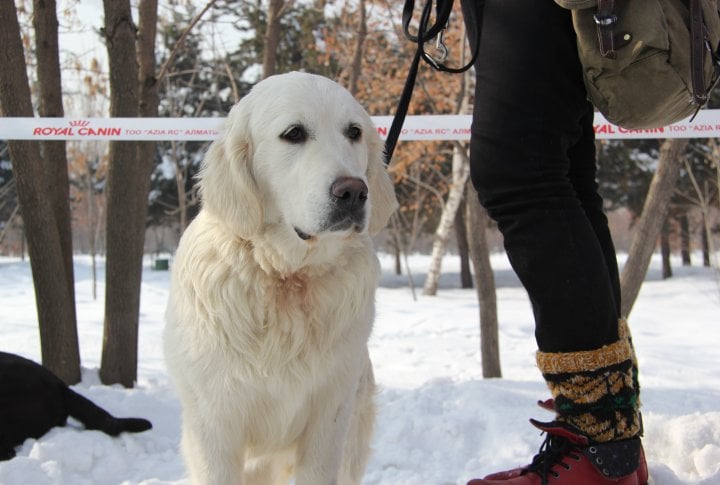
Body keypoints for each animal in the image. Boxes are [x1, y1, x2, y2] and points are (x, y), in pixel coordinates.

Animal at [164, 72, 400, 484]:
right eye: (294, 134)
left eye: (354, 132)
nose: (354, 191)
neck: (285, 276)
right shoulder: (215, 427)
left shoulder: (328, 421)